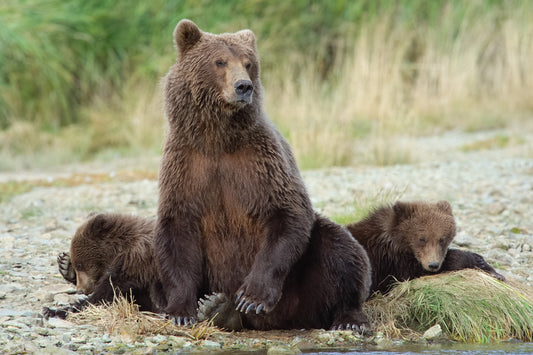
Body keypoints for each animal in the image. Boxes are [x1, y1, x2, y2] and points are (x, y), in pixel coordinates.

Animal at [154, 18, 370, 330]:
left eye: (248, 63)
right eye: (219, 61)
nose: (243, 86)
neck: (218, 138)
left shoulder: (261, 163)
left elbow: (286, 213)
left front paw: (252, 296)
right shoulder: (187, 166)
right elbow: (177, 230)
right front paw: (180, 311)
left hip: (305, 282)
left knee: (341, 248)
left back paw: (349, 318)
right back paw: (217, 306)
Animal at [342, 200, 504, 298]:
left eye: (441, 239)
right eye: (422, 239)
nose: (433, 265)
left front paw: (494, 272)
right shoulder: (391, 262)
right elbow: (414, 271)